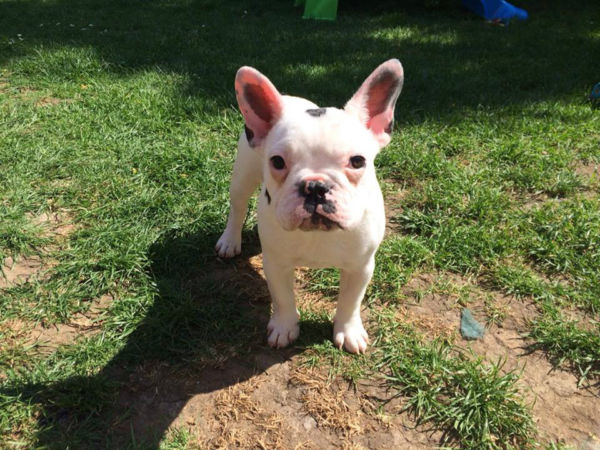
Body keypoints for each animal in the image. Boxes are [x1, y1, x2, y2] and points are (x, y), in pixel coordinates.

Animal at [216, 60, 404, 356]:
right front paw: (284, 328)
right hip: (243, 174)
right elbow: (283, 298)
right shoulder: (276, 263)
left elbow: (350, 302)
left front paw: (348, 331)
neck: (318, 233)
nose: (315, 186)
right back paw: (229, 241)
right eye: (277, 161)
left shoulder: (361, 266)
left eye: (358, 161)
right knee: (237, 207)